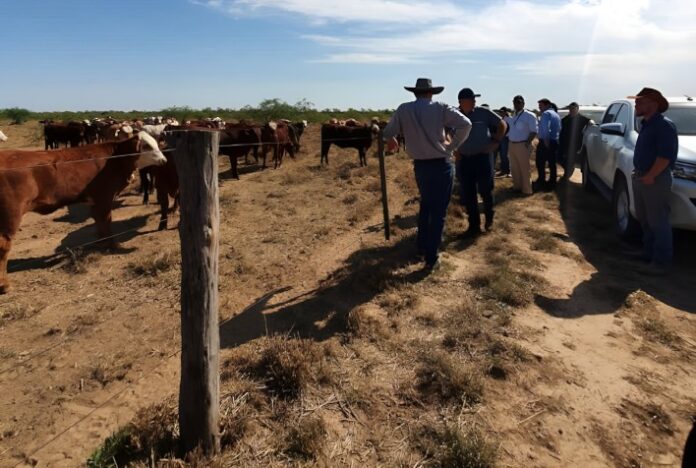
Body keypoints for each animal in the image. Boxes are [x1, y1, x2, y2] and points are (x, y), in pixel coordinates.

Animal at [0, 132, 167, 292]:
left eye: (156, 142)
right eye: (146, 146)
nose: (164, 160)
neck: (115, 158)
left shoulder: (96, 201)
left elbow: (100, 221)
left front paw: (101, 242)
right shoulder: (104, 197)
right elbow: (106, 220)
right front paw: (110, 244)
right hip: (11, 216)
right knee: (3, 246)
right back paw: (5, 285)